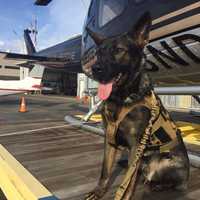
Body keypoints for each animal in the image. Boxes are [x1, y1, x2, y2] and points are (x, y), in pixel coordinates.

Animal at [81, 12, 189, 200]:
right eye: (99, 53)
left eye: (118, 50)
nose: (95, 69)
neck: (122, 98)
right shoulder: (110, 140)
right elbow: (105, 171)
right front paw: (99, 191)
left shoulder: (135, 146)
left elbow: (129, 182)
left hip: (167, 162)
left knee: (170, 182)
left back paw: (157, 185)